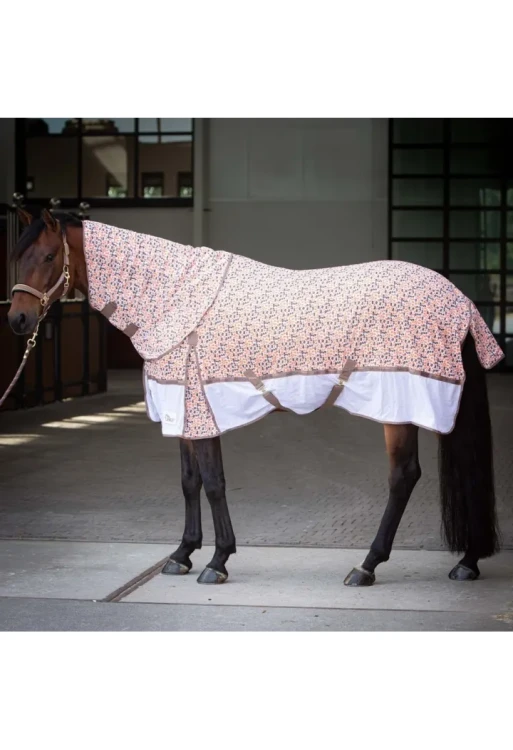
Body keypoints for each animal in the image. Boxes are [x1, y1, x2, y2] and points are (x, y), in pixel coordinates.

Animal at [6, 208, 503, 587]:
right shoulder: (183, 411)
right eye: (16, 257)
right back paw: (465, 561)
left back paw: (368, 566)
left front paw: (217, 561)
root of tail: (459, 300)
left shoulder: (200, 408)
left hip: (402, 406)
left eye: (49, 255)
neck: (172, 298)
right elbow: (189, 482)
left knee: (403, 477)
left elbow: (213, 482)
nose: (17, 319)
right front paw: (182, 554)